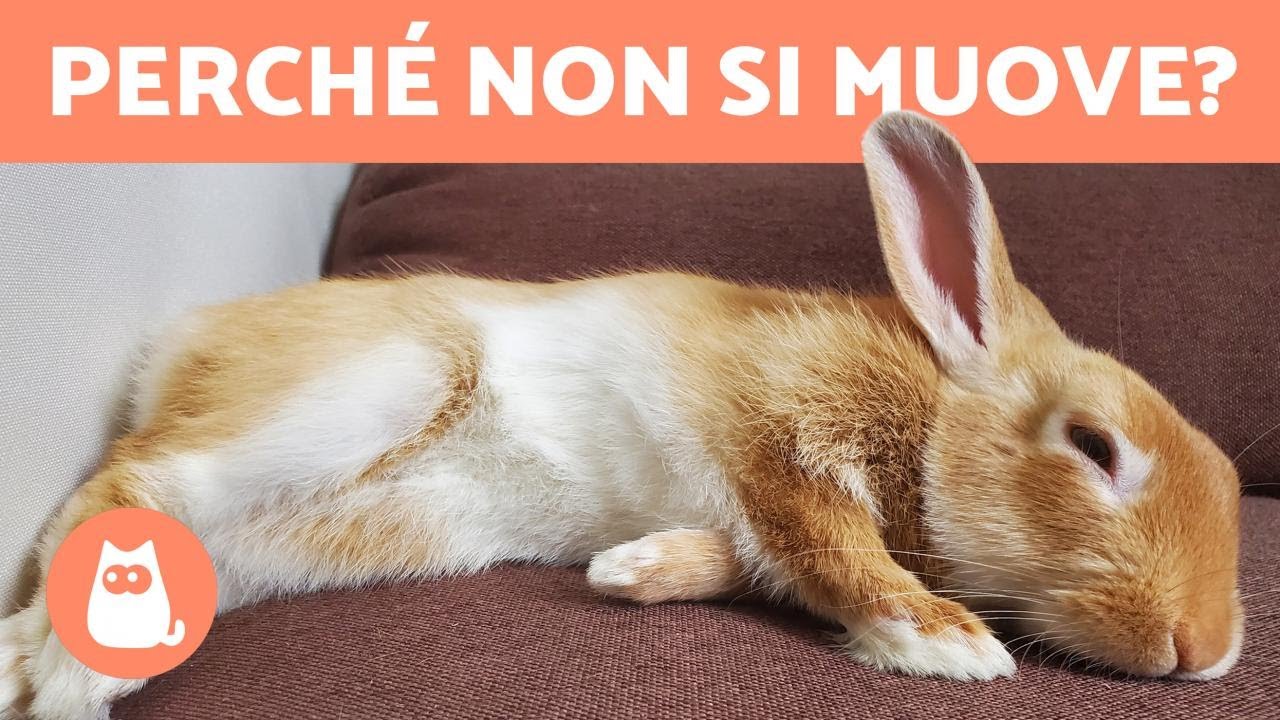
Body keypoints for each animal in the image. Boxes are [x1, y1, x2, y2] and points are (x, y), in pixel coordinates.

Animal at [0, 111, 1242, 720]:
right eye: (1092, 447)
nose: (1204, 652)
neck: (930, 418)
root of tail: (176, 351)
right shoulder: (773, 432)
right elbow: (824, 540)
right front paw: (946, 645)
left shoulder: (749, 519)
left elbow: (750, 560)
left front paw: (625, 573)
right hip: (376, 385)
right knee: (143, 477)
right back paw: (64, 684)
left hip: (350, 530)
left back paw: (46, 665)